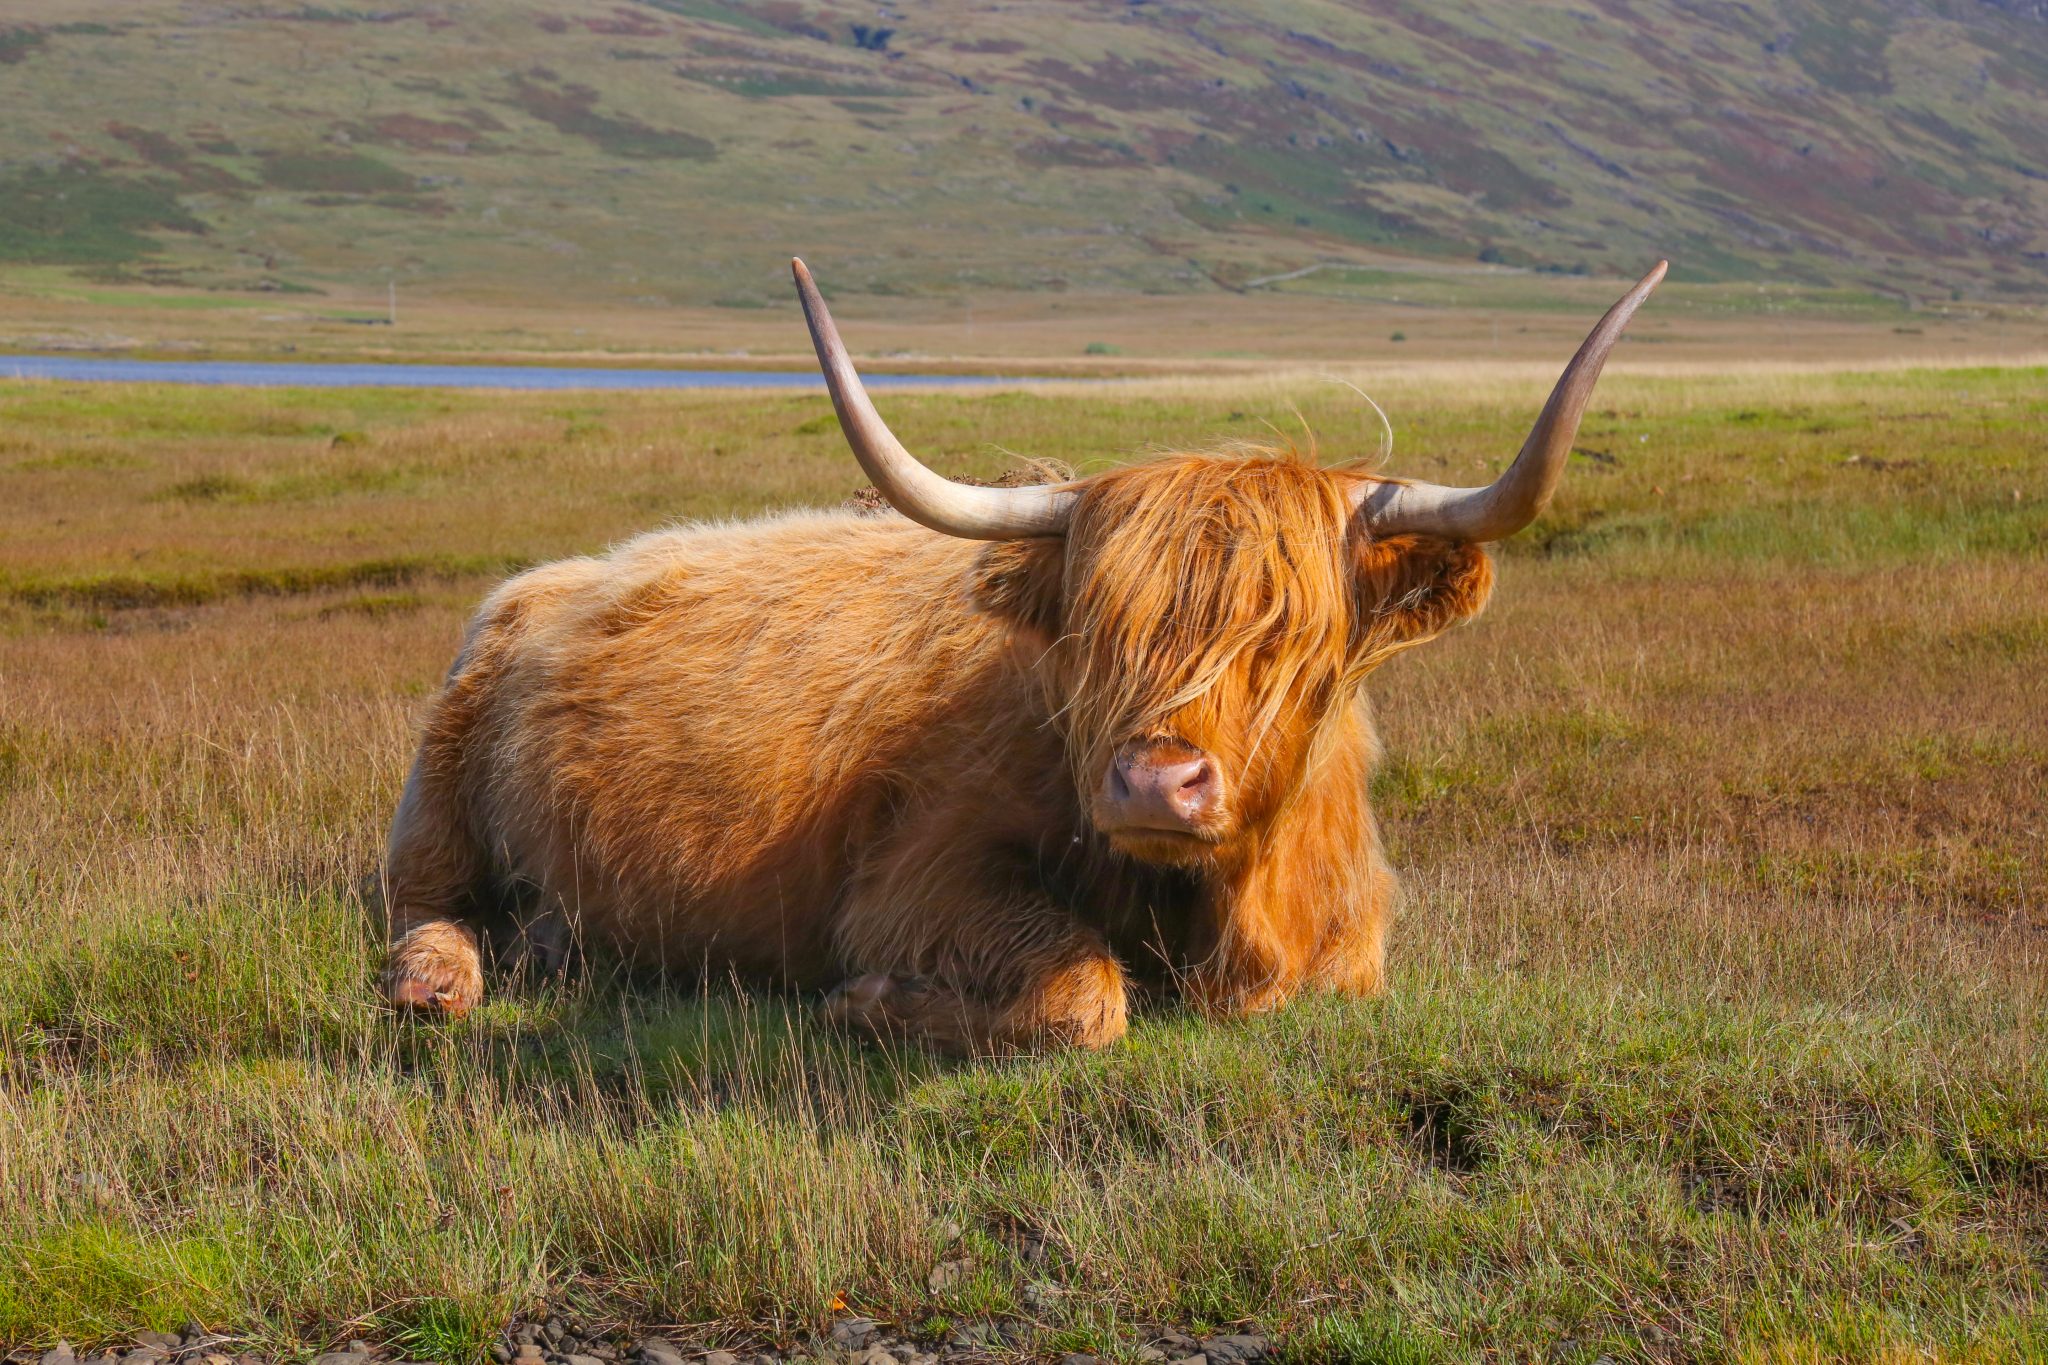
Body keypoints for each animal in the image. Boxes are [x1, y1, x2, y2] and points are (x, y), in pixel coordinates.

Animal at [380, 257, 1666, 1051]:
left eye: (1292, 636)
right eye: (1092, 624)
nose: (1151, 781)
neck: (1223, 908)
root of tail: (549, 577)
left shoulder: (1346, 942)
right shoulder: (910, 877)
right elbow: (1083, 994)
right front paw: (866, 1004)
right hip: (435, 787)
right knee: (424, 901)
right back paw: (434, 981)